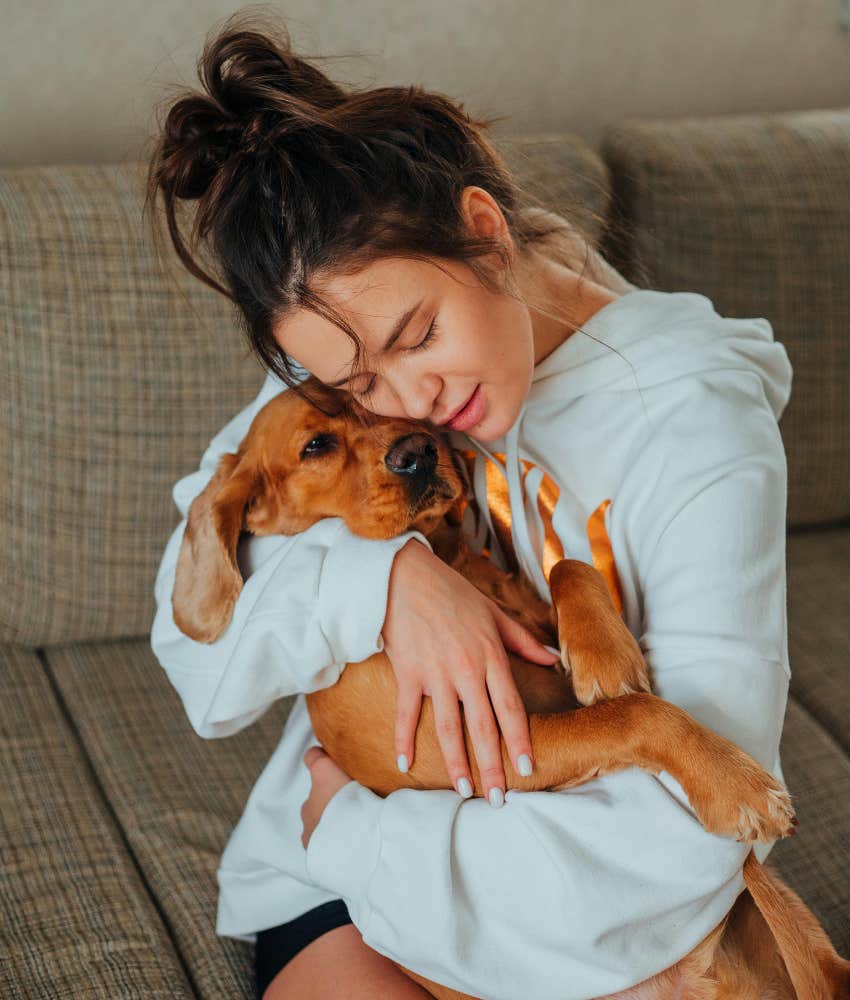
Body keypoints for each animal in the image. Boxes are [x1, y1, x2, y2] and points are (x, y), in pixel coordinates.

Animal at [169, 376, 844, 1000]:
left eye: (389, 407)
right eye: (316, 445)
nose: (418, 451)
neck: (450, 566)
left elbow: (569, 566)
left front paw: (604, 652)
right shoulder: (484, 751)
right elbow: (634, 714)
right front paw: (738, 786)